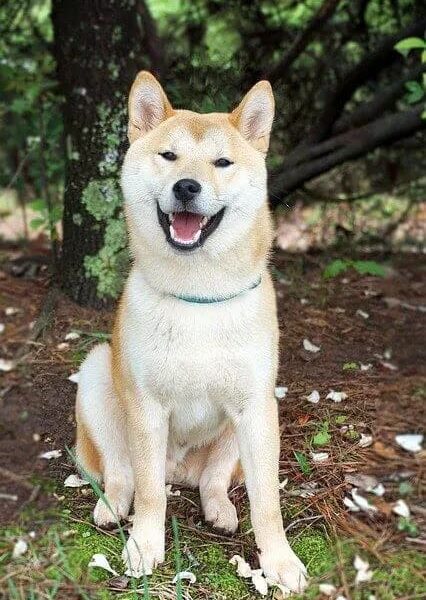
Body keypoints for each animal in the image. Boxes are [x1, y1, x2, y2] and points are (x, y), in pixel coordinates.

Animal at [75, 71, 308, 593]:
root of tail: (177, 469)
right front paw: (145, 545)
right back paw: (112, 505)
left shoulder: (255, 405)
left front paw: (279, 560)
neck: (198, 297)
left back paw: (219, 509)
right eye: (169, 156)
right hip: (97, 378)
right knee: (123, 474)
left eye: (222, 162)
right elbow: (149, 497)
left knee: (212, 481)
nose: (186, 186)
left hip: (254, 418)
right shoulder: (146, 407)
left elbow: (267, 502)